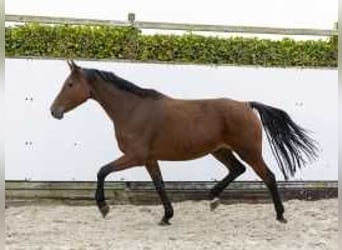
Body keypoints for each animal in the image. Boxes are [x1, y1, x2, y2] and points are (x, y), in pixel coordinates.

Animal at [49, 60, 316, 225]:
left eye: (70, 84)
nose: (54, 111)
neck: (132, 109)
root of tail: (246, 104)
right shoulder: (149, 159)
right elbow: (159, 185)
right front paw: (166, 216)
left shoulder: (135, 157)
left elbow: (102, 171)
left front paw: (103, 207)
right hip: (220, 150)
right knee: (237, 169)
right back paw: (213, 198)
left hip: (248, 151)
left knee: (268, 176)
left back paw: (280, 215)